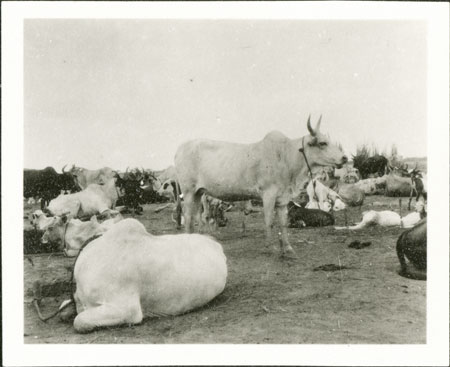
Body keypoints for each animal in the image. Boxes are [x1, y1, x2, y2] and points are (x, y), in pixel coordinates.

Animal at [174, 116, 346, 258]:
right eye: (323, 143)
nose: (344, 158)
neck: (286, 157)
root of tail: (180, 149)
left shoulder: (282, 198)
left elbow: (283, 223)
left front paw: (288, 248)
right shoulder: (268, 194)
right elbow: (269, 221)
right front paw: (271, 248)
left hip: (198, 193)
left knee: (196, 216)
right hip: (188, 191)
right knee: (188, 217)